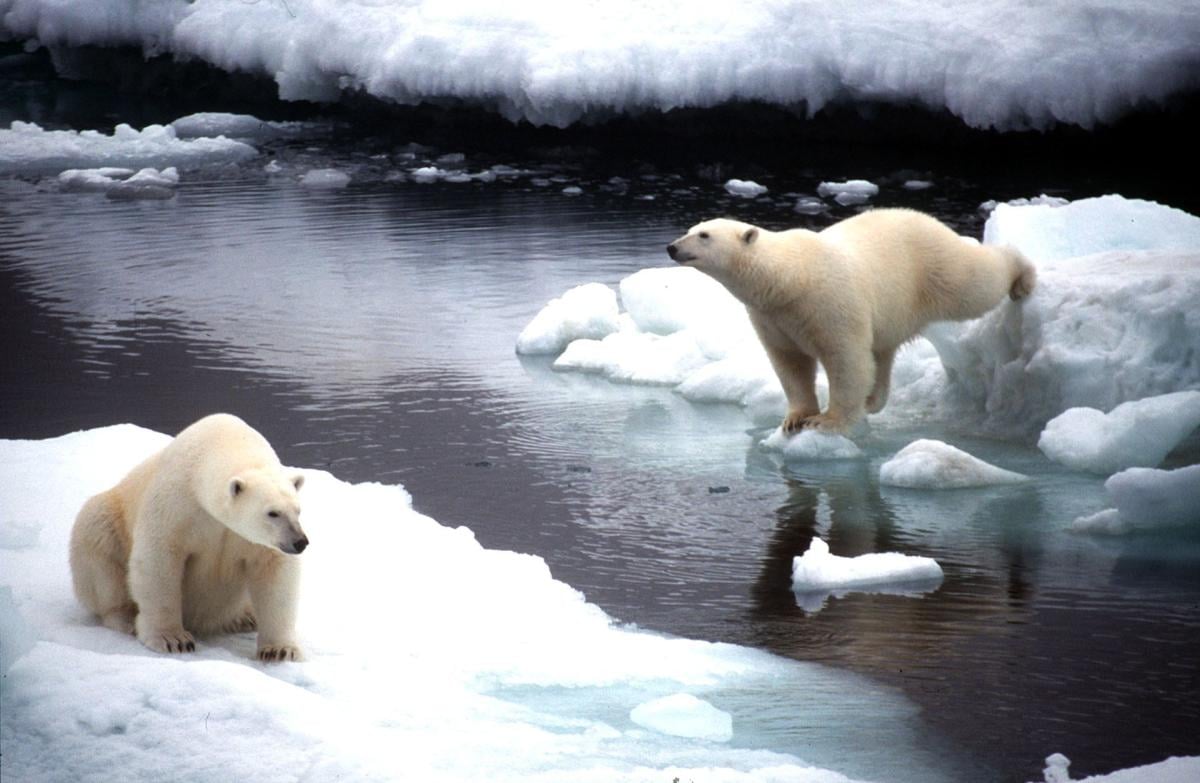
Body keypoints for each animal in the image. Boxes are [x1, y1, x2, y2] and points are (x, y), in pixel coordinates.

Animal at [69, 413, 309, 662]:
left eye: (298, 510)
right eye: (272, 513)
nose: (300, 542)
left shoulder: (254, 541)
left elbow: (275, 573)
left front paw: (280, 650)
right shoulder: (176, 505)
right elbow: (158, 560)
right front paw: (172, 639)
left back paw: (245, 617)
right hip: (108, 520)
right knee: (99, 545)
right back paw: (125, 618)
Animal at [672, 207, 1036, 434]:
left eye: (704, 235)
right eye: (690, 230)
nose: (672, 247)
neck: (790, 278)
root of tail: (930, 220)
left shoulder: (829, 303)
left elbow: (845, 359)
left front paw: (827, 422)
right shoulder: (772, 316)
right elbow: (789, 363)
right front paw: (794, 419)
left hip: (933, 268)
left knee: (974, 283)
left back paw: (1022, 276)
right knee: (882, 352)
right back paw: (874, 401)